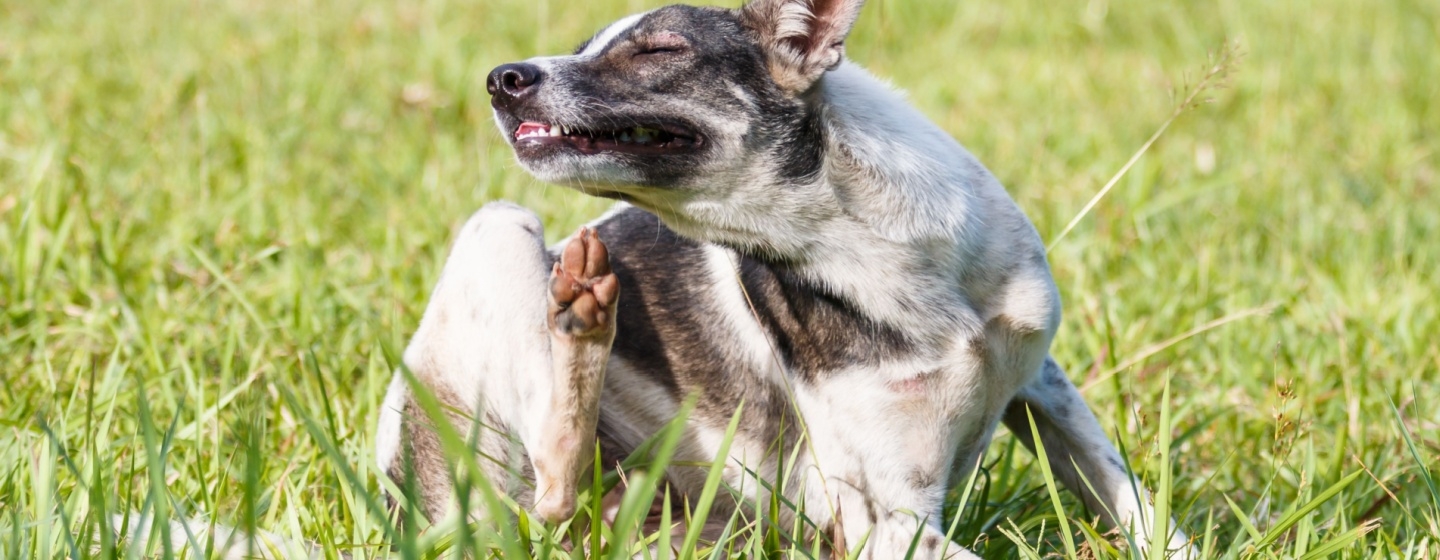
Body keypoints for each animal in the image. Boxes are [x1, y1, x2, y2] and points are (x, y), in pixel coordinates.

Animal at [371, 1, 1192, 552]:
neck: (863, 241)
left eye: (657, 49)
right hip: (497, 229)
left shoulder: (1042, 386)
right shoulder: (886, 520)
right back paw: (580, 312)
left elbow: (1138, 507)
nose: (500, 78)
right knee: (550, 487)